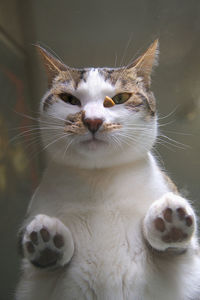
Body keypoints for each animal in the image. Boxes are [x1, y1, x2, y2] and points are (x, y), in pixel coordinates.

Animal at [15, 40, 200, 300]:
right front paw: (45, 243)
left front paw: (170, 223)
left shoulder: (189, 268)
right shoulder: (33, 282)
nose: (93, 120)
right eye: (69, 99)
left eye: (120, 97)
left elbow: (179, 250)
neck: (99, 181)